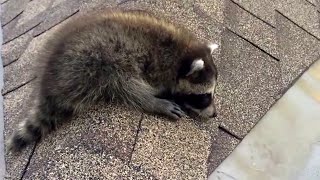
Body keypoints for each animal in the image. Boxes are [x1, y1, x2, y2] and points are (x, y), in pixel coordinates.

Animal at [6, 8, 219, 152]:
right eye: (204, 97)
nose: (214, 114)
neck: (180, 55)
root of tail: (49, 80)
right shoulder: (142, 61)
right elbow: (132, 87)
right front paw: (155, 101)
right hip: (91, 64)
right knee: (121, 85)